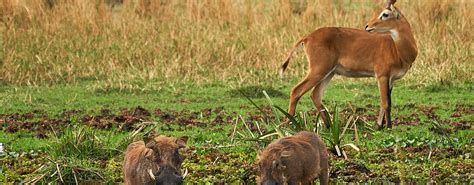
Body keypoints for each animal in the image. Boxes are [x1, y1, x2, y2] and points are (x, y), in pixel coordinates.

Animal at [280, 0, 416, 129]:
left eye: (385, 14)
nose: (367, 26)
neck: (398, 50)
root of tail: (307, 37)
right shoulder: (382, 76)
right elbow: (386, 103)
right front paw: (388, 128)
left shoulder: (391, 79)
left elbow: (387, 102)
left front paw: (379, 126)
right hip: (318, 70)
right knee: (296, 91)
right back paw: (289, 124)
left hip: (329, 73)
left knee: (315, 95)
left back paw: (328, 126)